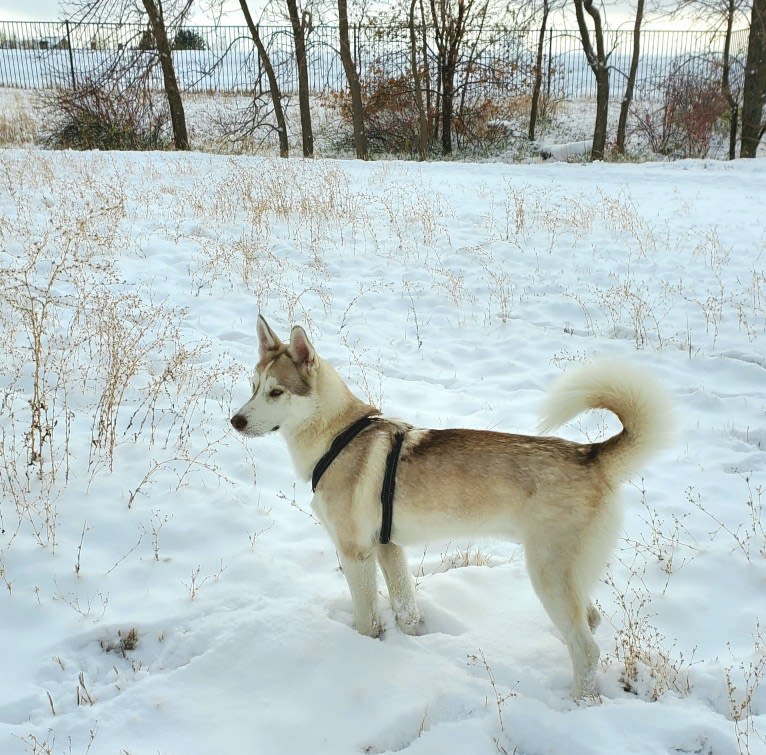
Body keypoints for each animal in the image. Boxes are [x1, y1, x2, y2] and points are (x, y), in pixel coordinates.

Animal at [231, 316, 676, 700]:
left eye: (276, 392)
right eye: (252, 385)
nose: (235, 421)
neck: (336, 436)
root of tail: (591, 455)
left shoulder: (355, 552)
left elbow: (367, 619)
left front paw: (362, 650)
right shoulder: (388, 547)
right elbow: (406, 608)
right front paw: (412, 641)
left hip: (547, 573)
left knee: (587, 649)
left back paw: (578, 704)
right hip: (566, 576)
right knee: (591, 622)